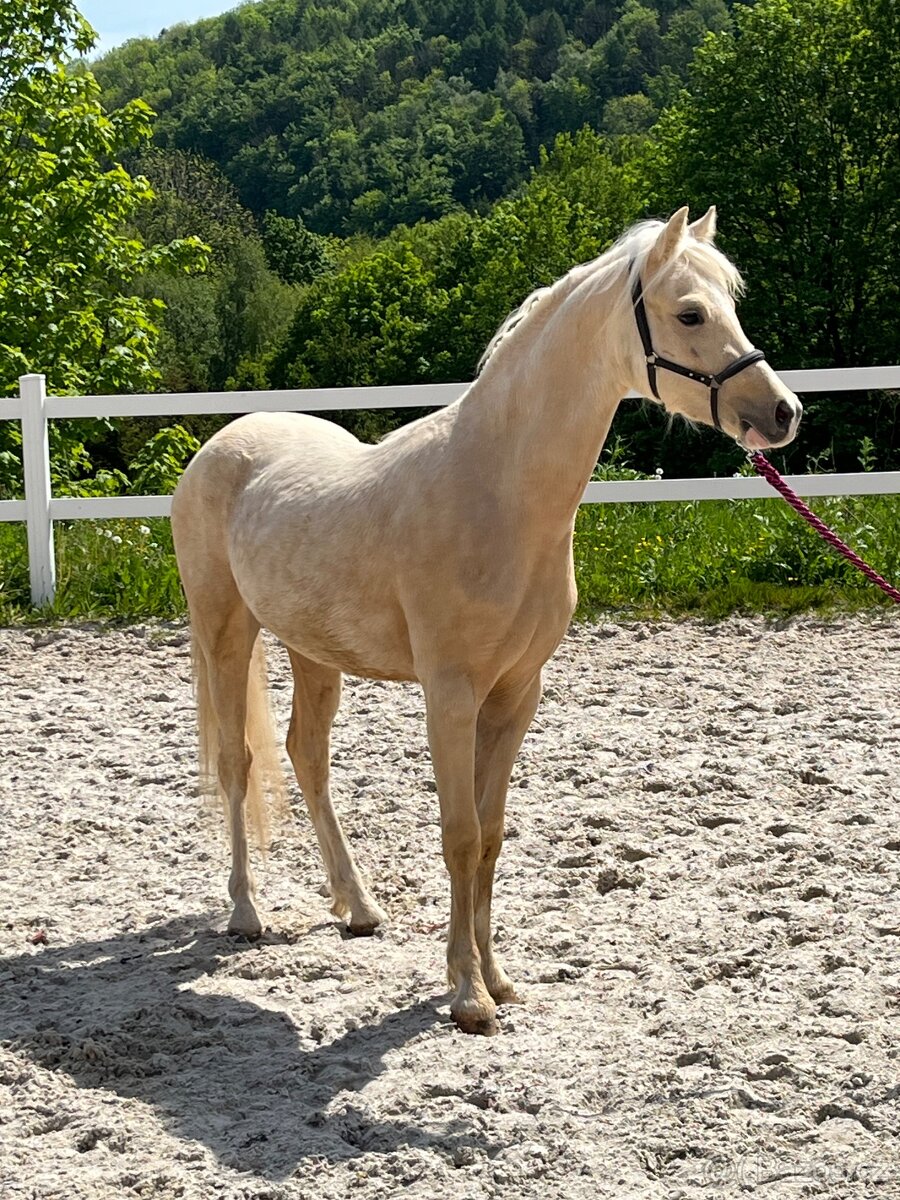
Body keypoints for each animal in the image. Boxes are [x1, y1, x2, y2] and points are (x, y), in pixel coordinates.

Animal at [171, 206, 802, 1036]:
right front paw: (466, 994)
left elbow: (493, 835)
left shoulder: (516, 693)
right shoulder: (451, 694)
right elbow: (460, 835)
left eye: (732, 304)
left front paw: (498, 980)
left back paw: (357, 906)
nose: (783, 413)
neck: (496, 491)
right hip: (226, 632)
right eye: (691, 313)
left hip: (315, 650)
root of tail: (221, 443)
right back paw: (246, 914)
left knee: (307, 756)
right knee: (238, 762)